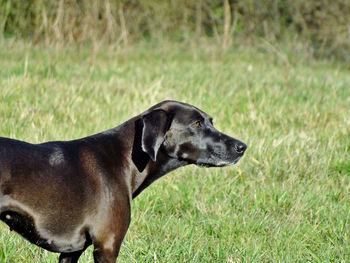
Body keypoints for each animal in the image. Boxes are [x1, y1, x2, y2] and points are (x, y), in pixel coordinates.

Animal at [0, 100, 246, 262]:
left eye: (211, 122)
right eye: (196, 124)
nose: (242, 146)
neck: (125, 158)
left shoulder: (71, 251)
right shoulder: (107, 246)